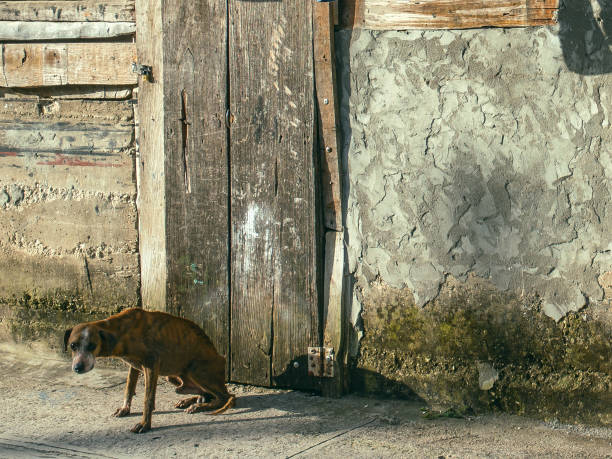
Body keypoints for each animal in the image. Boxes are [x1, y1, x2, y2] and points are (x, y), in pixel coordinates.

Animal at [62, 310, 234, 434]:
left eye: (92, 346)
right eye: (72, 345)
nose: (77, 368)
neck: (121, 330)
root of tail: (222, 359)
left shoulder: (151, 365)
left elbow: (148, 398)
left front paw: (145, 424)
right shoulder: (134, 366)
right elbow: (129, 388)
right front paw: (125, 408)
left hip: (195, 370)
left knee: (224, 397)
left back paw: (200, 406)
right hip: (173, 376)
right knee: (204, 393)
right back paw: (192, 400)